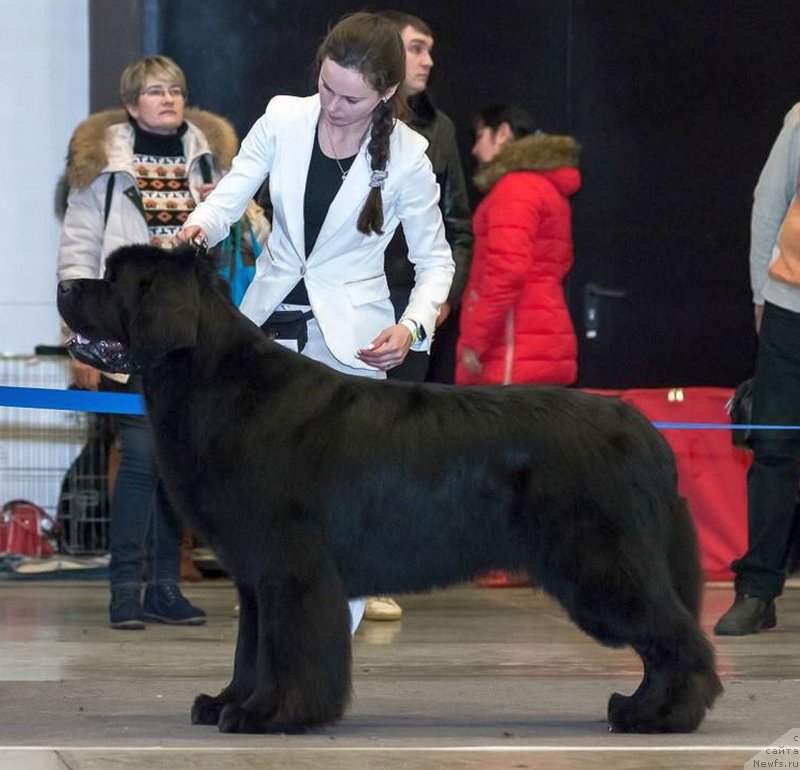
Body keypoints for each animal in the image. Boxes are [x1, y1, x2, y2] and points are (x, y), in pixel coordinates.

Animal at [54, 244, 720, 732]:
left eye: (111, 280)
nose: (64, 287)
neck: (215, 382)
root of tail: (645, 431)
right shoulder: (256, 574)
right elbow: (250, 647)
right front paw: (227, 702)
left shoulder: (291, 568)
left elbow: (286, 648)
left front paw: (268, 714)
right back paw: (639, 707)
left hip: (600, 562)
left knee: (675, 636)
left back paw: (662, 714)